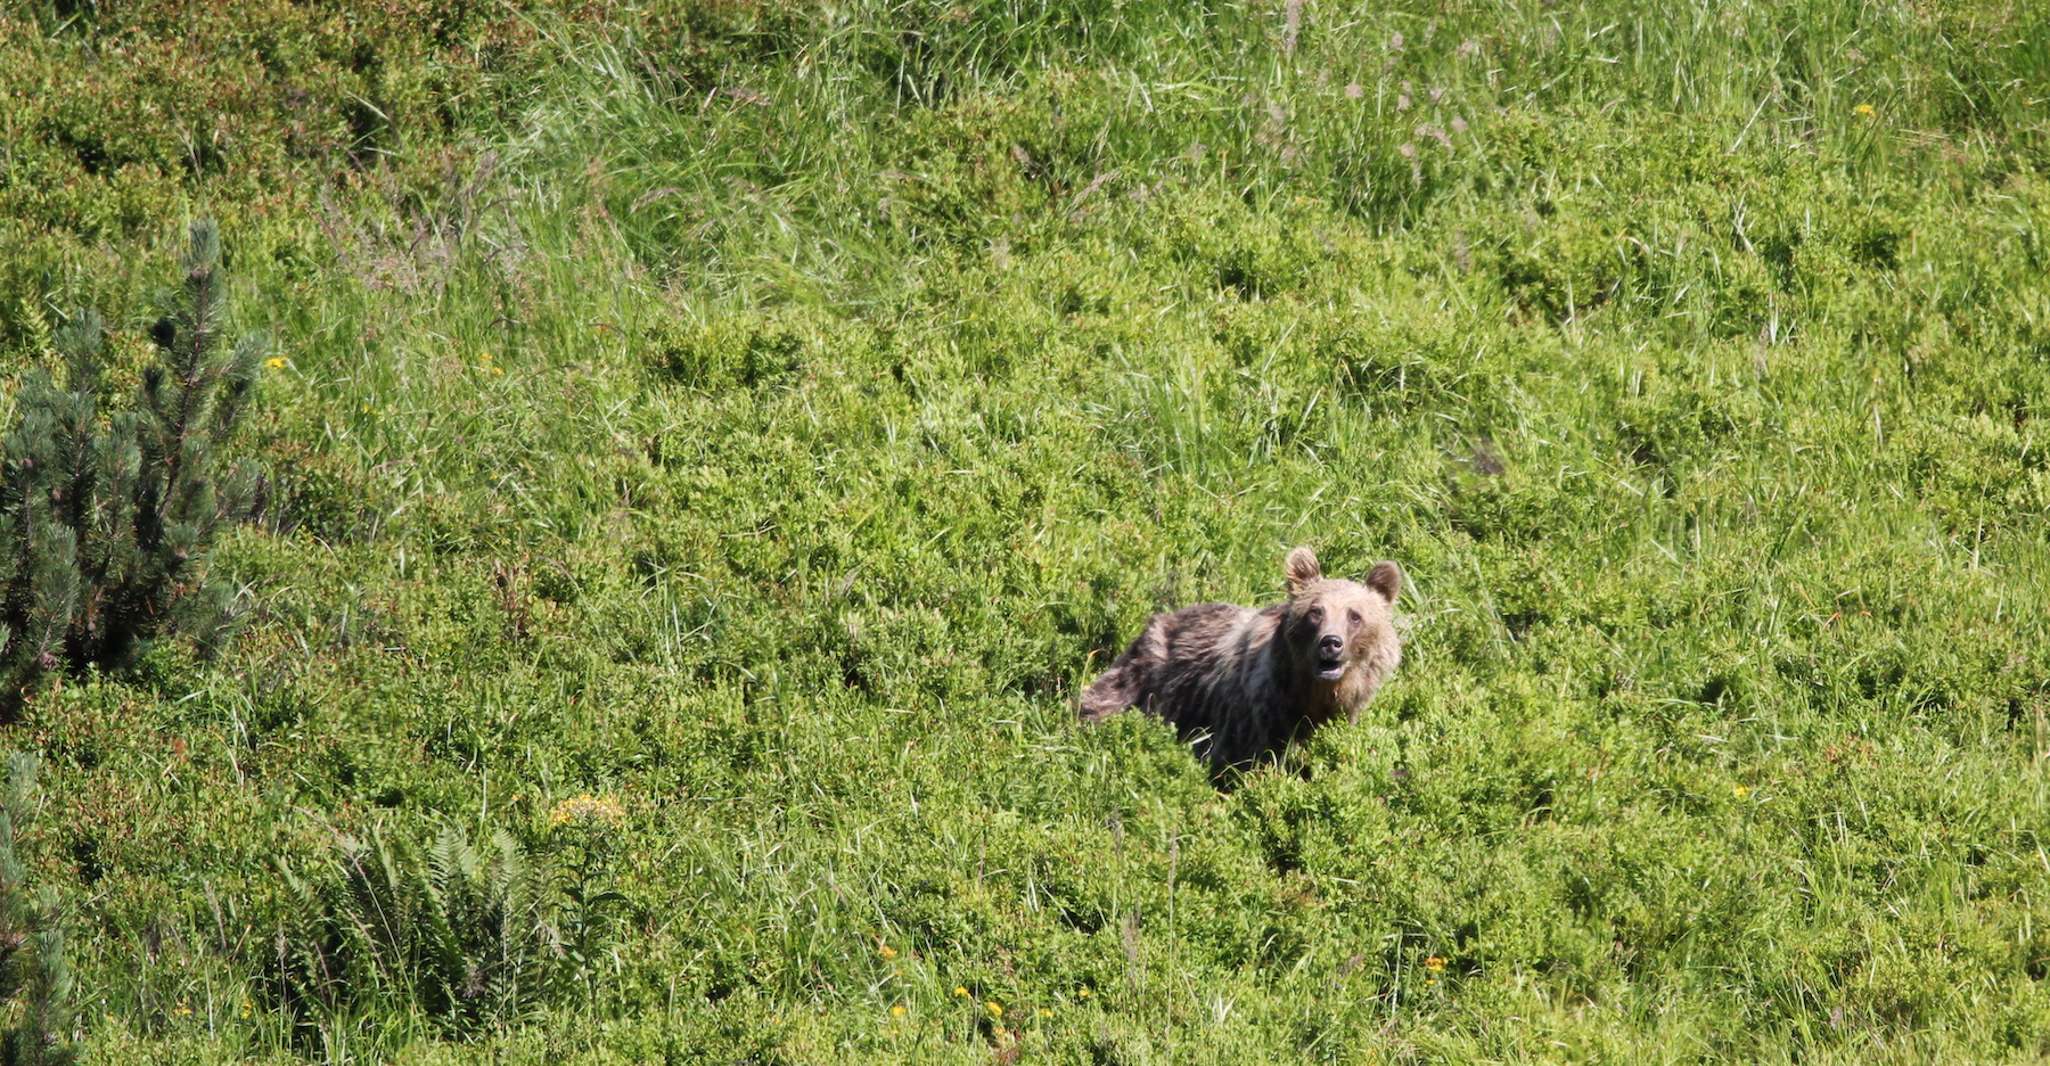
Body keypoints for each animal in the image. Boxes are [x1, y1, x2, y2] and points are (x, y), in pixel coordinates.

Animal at [1082, 549, 1402, 766]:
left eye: (1355, 615)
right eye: (1316, 612)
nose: (1331, 643)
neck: (1309, 694)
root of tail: (1160, 617)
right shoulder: (1256, 712)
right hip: (1148, 676)